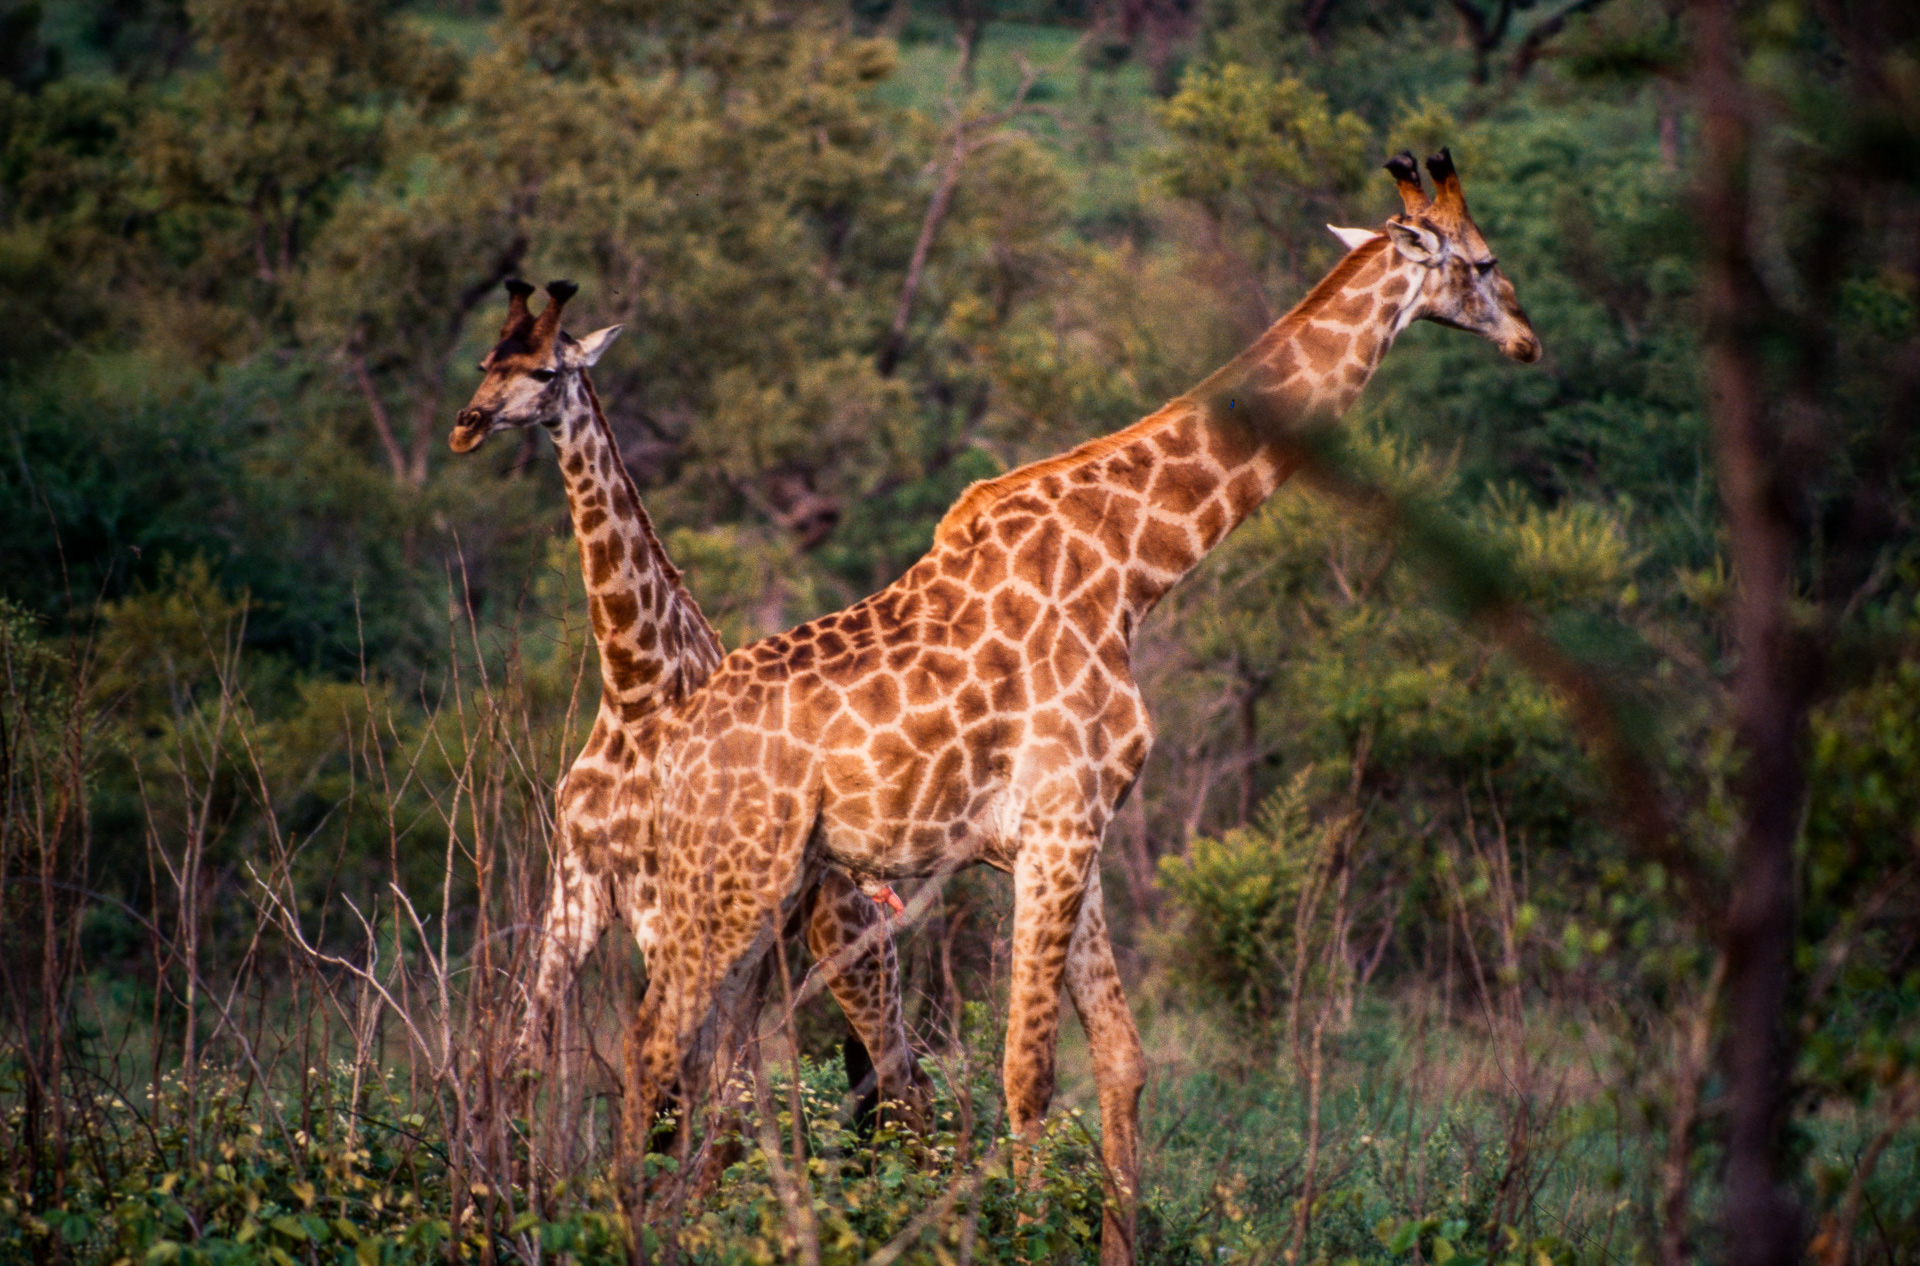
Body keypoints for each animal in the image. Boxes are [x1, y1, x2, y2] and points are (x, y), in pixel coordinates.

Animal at [449, 282, 929, 1144]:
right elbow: (526, 1060)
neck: (636, 694)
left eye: (545, 371)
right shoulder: (575, 886)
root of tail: (878, 884)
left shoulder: (661, 905)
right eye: (485, 362)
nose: (468, 425)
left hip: (855, 954)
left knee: (903, 1084)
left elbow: (669, 1082)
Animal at [572, 150, 1543, 1266]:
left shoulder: (1074, 832)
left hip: (763, 890)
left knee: (701, 1059)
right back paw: (620, 1228)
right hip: (732, 878)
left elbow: (1121, 1060)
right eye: (1484, 260)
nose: (1528, 337)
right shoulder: (1060, 821)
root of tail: (670, 744)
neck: (1134, 568)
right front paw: (1020, 1235)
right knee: (657, 1041)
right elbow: (1029, 1074)